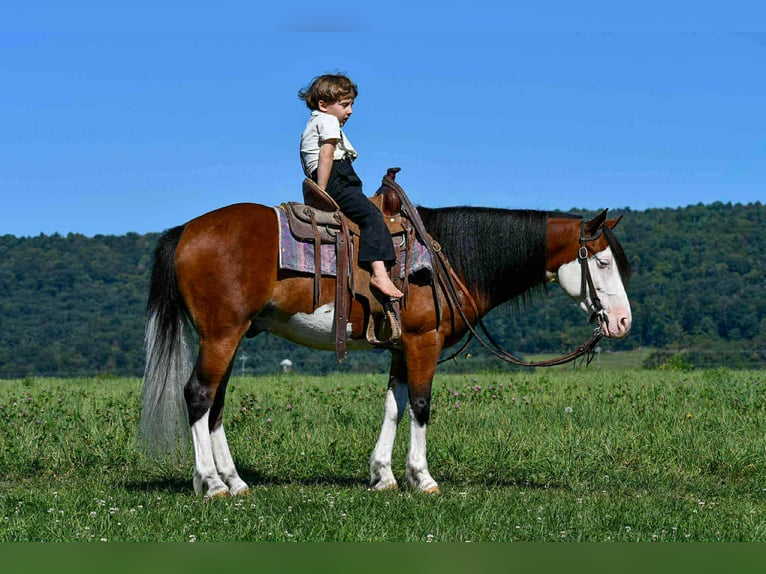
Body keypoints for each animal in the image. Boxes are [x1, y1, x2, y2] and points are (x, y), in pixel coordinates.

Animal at [140, 187, 632, 497]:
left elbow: (393, 405)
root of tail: (185, 230)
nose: (623, 322)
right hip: (221, 335)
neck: (448, 257)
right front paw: (422, 478)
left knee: (216, 403)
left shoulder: (401, 346)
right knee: (198, 395)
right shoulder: (423, 341)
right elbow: (420, 404)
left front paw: (383, 476)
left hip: (231, 336)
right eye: (602, 262)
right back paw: (212, 485)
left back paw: (235, 482)